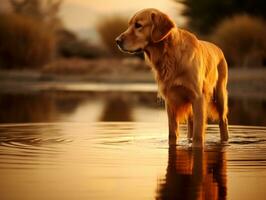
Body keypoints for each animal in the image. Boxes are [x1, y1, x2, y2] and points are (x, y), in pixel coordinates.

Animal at [116, 8, 229, 147]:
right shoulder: (170, 100)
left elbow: (198, 135)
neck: (169, 55)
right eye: (129, 25)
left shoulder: (198, 97)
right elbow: (172, 134)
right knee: (191, 124)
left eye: (138, 25)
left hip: (220, 96)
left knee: (223, 120)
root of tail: (218, 48)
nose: (117, 41)